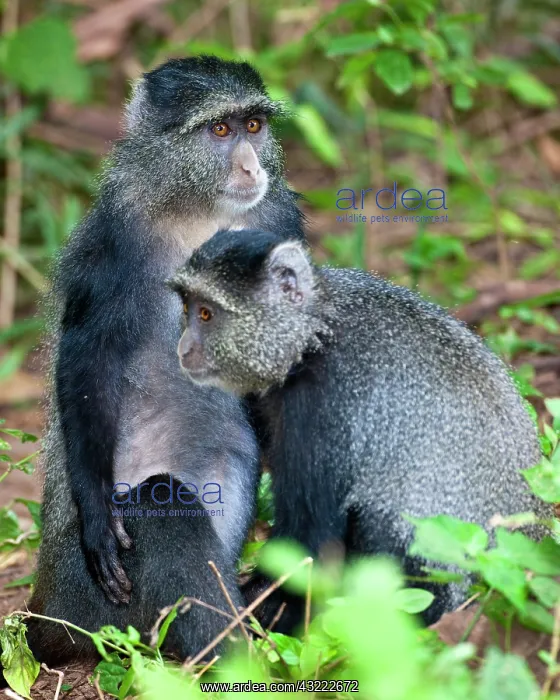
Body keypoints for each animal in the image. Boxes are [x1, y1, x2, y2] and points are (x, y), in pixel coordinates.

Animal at [20, 56, 306, 666]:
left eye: (253, 126)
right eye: (218, 130)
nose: (251, 166)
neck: (198, 213)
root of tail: (43, 610)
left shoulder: (280, 219)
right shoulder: (115, 237)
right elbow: (87, 362)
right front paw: (96, 519)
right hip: (90, 608)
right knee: (159, 500)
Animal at [167, 227, 551, 631]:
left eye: (206, 313)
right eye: (188, 309)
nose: (183, 347)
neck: (313, 334)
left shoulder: (323, 409)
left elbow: (311, 541)